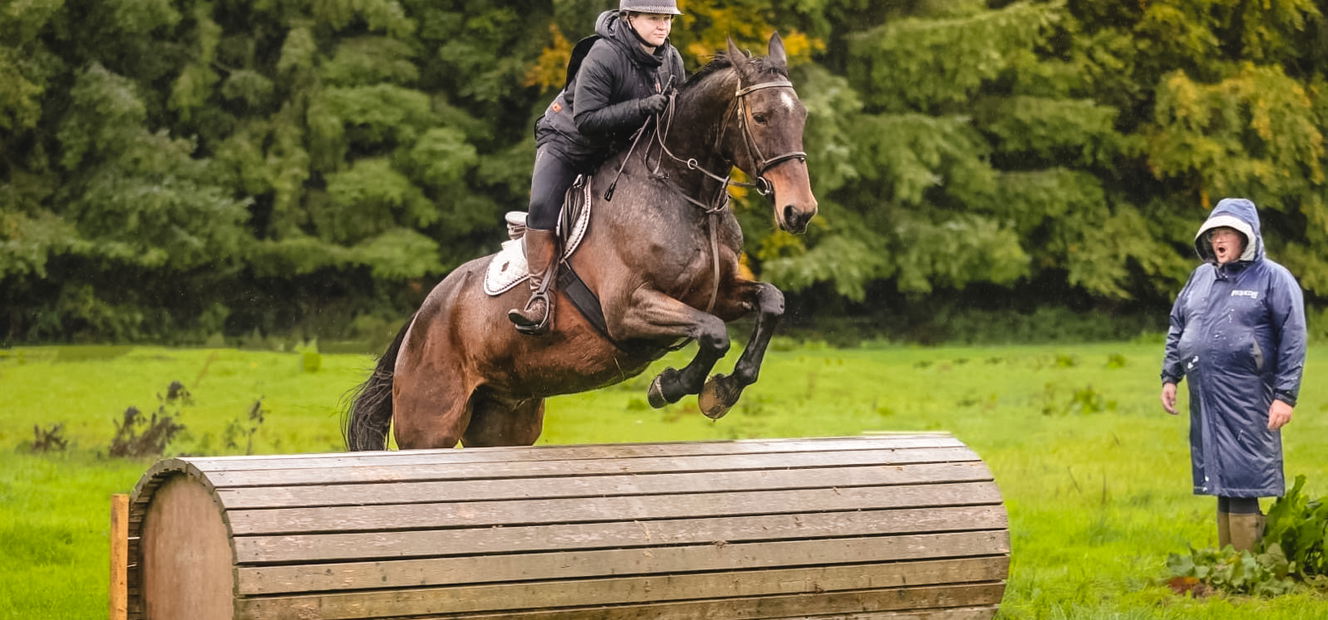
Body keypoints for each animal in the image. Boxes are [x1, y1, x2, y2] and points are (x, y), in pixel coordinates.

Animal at [345, 34, 817, 450]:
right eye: (760, 117)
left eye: (802, 116)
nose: (800, 211)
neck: (683, 193)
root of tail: (419, 318)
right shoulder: (628, 309)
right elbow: (714, 332)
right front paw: (670, 386)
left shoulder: (714, 294)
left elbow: (770, 303)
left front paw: (726, 388)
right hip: (429, 424)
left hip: (504, 420)